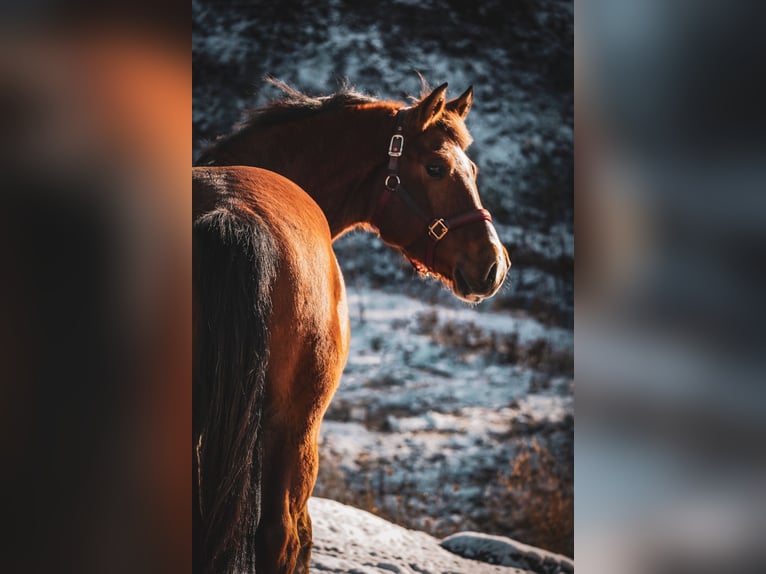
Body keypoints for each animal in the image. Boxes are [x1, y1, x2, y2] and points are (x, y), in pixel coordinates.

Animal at [195, 79, 512, 572]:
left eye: (473, 168)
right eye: (437, 168)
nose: (493, 265)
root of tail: (232, 212)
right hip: (299, 430)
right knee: (285, 536)